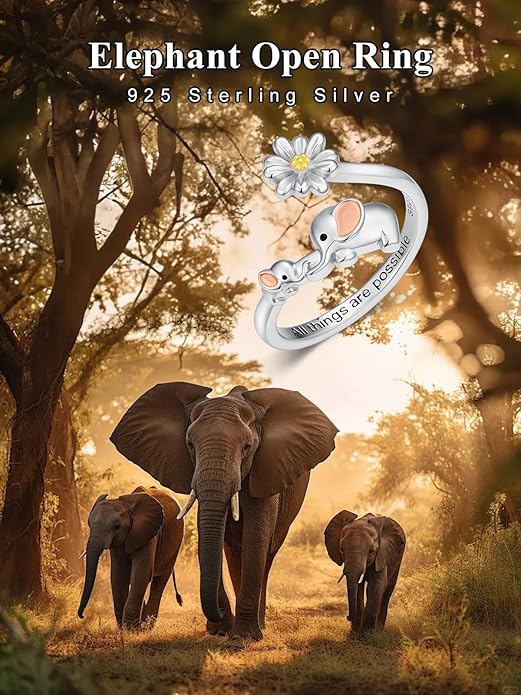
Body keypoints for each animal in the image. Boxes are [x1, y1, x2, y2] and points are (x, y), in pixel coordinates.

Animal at [78, 485, 184, 628]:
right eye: (89, 524)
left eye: (117, 526)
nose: (81, 615)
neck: (126, 504)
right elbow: (118, 574)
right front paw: (124, 628)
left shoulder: (148, 533)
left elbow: (142, 573)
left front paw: (131, 629)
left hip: (175, 543)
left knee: (160, 581)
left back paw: (146, 627)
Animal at [110, 382, 338, 640]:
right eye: (190, 445)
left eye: (247, 447)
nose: (218, 614)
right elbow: (209, 535)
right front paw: (221, 631)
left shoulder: (265, 471)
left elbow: (256, 539)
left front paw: (244, 636)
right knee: (233, 554)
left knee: (266, 556)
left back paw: (259, 626)